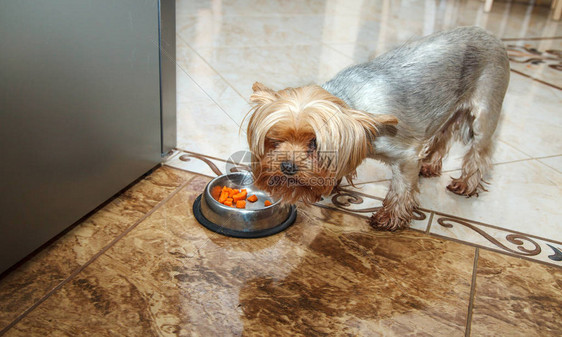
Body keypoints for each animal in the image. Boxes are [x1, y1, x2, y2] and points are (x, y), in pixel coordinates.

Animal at [245, 26, 508, 231]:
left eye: (314, 143)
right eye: (274, 140)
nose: (287, 167)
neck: (349, 104)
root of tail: (491, 35)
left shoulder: (406, 155)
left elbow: (402, 188)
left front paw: (391, 217)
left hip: (487, 105)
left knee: (480, 150)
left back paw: (466, 184)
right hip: (448, 108)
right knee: (443, 135)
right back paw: (431, 165)